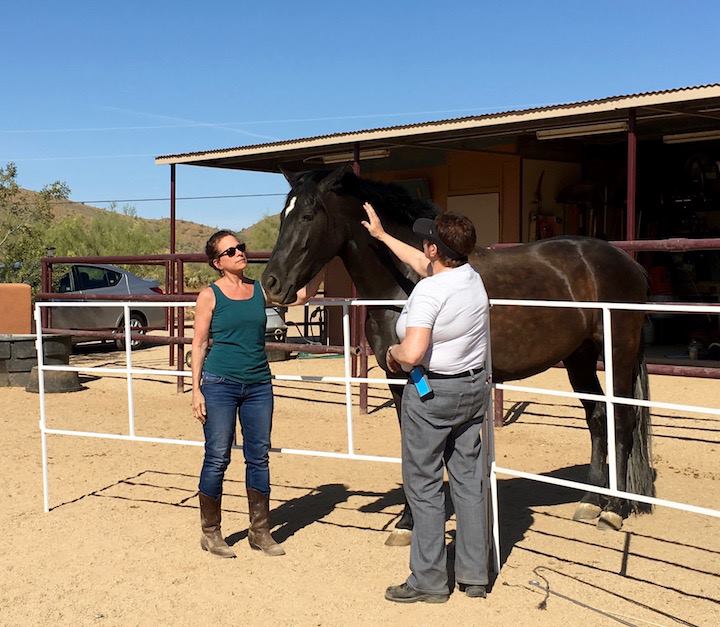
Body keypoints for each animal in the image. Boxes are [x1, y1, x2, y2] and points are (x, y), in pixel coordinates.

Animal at [262, 165, 654, 539]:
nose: (272, 283)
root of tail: (629, 263)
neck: (406, 281)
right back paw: (590, 501)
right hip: (579, 358)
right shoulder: (397, 379)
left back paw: (613, 511)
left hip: (617, 353)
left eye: (308, 214)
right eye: (283, 215)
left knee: (623, 420)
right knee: (598, 418)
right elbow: (409, 447)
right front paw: (407, 522)